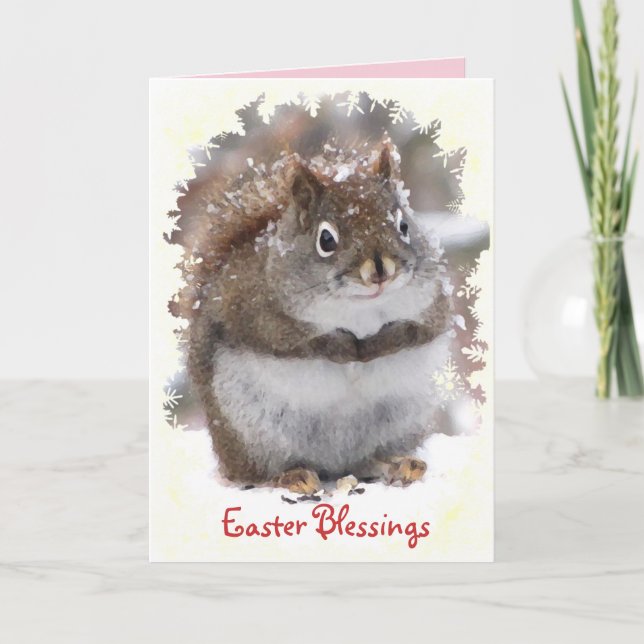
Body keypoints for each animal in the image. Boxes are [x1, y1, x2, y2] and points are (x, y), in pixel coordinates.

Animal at [169, 123, 455, 494]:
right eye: (326, 239)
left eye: (403, 226)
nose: (381, 270)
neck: (360, 309)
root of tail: (333, 463)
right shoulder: (254, 311)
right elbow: (295, 341)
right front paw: (343, 347)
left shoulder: (433, 303)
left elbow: (419, 331)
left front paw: (379, 344)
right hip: (251, 429)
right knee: (256, 472)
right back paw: (290, 476)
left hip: (401, 420)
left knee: (367, 460)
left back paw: (399, 464)